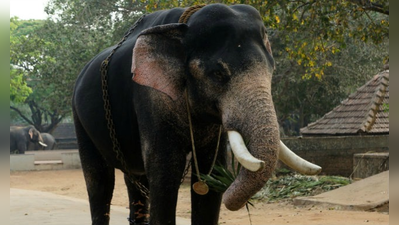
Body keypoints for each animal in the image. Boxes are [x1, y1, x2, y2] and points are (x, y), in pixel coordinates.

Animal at [71, 3, 322, 225]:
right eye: (218, 74)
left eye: (272, 70)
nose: (232, 193)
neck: (184, 27)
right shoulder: (151, 98)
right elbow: (165, 173)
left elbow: (212, 172)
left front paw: (214, 181)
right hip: (79, 118)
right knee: (99, 181)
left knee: (135, 180)